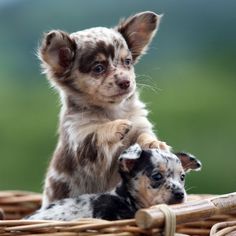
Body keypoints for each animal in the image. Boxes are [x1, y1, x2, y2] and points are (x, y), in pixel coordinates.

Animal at [39, 11, 171, 207]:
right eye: (98, 68)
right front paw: (116, 126)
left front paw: (154, 144)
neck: (111, 111)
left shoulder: (139, 125)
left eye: (127, 61)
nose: (126, 82)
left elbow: (143, 136)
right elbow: (97, 132)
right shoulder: (81, 143)